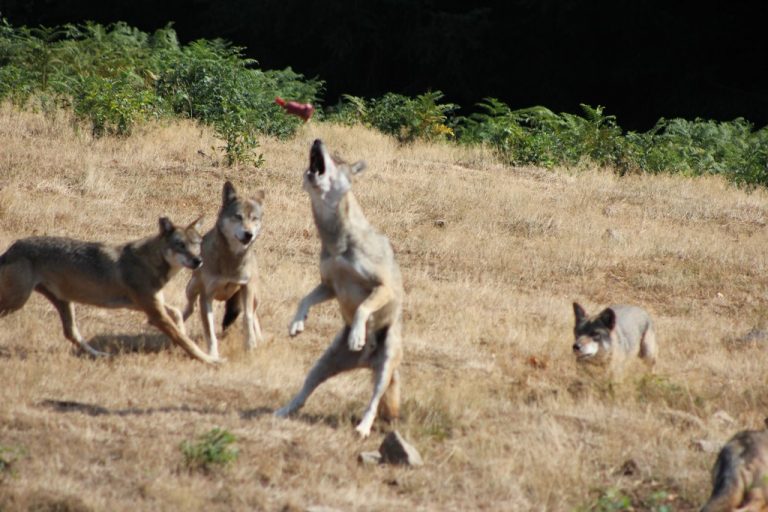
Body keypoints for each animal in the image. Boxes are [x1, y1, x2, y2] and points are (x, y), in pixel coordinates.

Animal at [0, 216, 222, 364]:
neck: (150, 261)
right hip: (18, 301)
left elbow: (177, 316)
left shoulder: (150, 305)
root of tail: (11, 249)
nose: (198, 261)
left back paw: (101, 356)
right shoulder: (154, 313)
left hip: (63, 302)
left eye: (196, 244)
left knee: (71, 334)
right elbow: (185, 341)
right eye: (180, 245)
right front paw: (209, 359)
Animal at [182, 182, 264, 358]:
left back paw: (260, 339)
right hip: (191, 288)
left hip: (255, 297)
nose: (248, 234)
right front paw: (213, 355)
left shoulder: (247, 287)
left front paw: (250, 346)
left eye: (254, 218)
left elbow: (247, 318)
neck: (231, 260)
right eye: (238, 217)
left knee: (254, 314)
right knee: (189, 308)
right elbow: (210, 331)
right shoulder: (206, 297)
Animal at [276, 138, 408, 438]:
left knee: (373, 402)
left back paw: (363, 428)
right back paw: (282, 410)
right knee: (305, 390)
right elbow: (304, 299)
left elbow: (362, 308)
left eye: (337, 158)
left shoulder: (383, 288)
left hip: (386, 365)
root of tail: (367, 362)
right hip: (322, 364)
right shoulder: (329, 286)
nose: (317, 140)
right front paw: (297, 324)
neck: (337, 240)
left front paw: (357, 335)